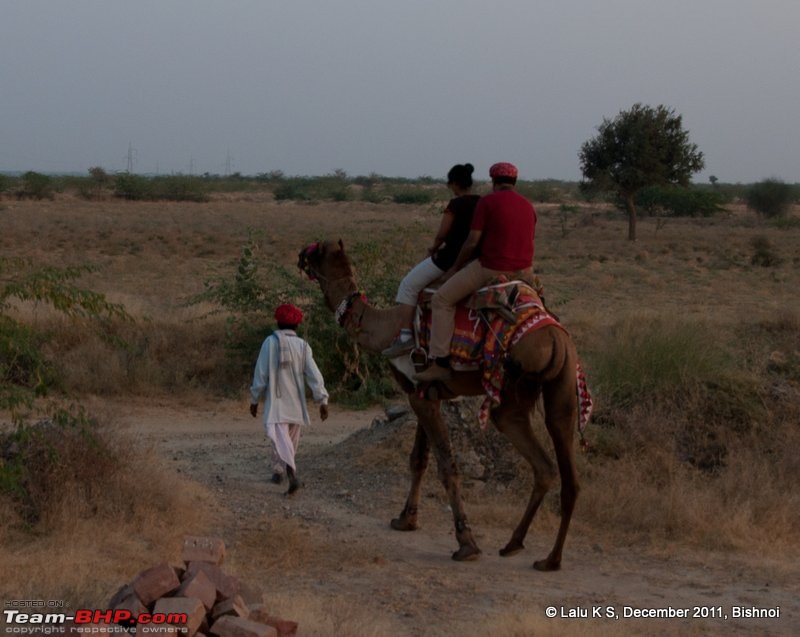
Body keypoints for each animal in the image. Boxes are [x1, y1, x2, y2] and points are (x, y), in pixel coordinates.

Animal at [296, 240, 584, 572]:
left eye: (316, 249)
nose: (301, 256)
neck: (384, 328)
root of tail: (555, 340)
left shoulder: (417, 393)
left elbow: (446, 467)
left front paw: (466, 543)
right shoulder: (426, 393)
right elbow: (419, 459)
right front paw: (405, 520)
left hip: (511, 390)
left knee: (538, 454)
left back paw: (531, 551)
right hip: (560, 388)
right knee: (556, 466)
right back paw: (537, 553)